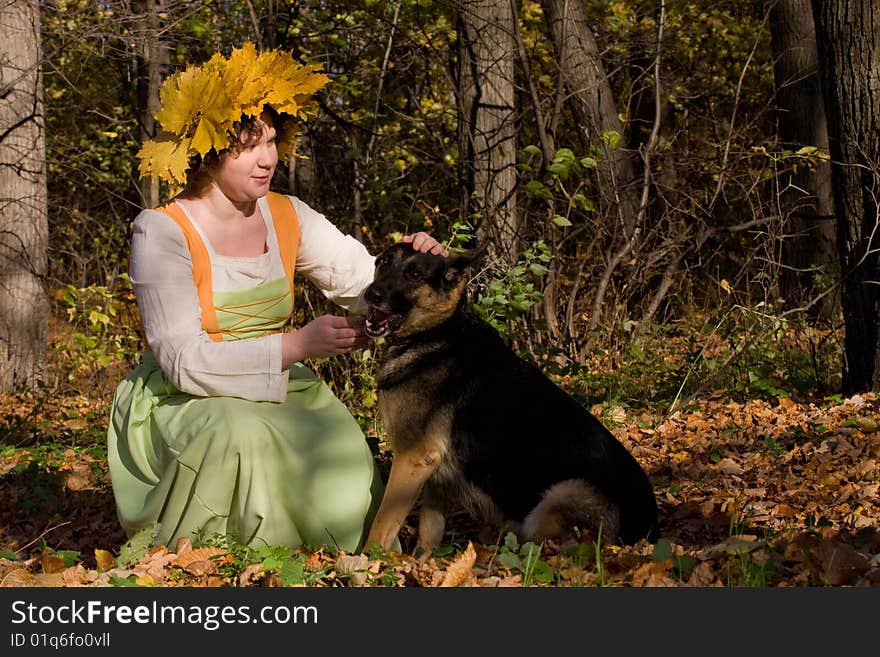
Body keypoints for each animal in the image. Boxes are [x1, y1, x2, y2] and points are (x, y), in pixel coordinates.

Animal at [360, 242, 656, 552]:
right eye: (383, 262)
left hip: (557, 499)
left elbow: (381, 526)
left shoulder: (412, 459)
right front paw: (419, 562)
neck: (436, 331)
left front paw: (369, 561)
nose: (371, 293)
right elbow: (429, 533)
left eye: (414, 274)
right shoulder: (434, 474)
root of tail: (649, 529)